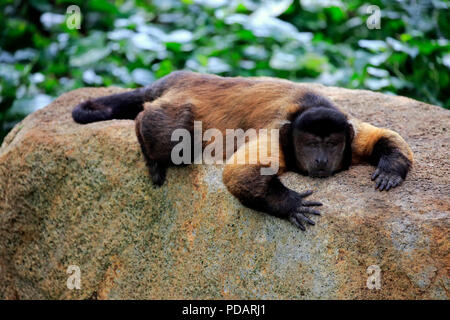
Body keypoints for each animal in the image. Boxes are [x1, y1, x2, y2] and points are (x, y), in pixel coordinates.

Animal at [72, 70, 414, 230]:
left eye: (331, 144)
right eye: (309, 143)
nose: (320, 159)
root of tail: (178, 78)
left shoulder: (348, 133)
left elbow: (386, 137)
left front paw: (390, 169)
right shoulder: (279, 135)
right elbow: (239, 174)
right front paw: (289, 203)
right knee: (174, 134)